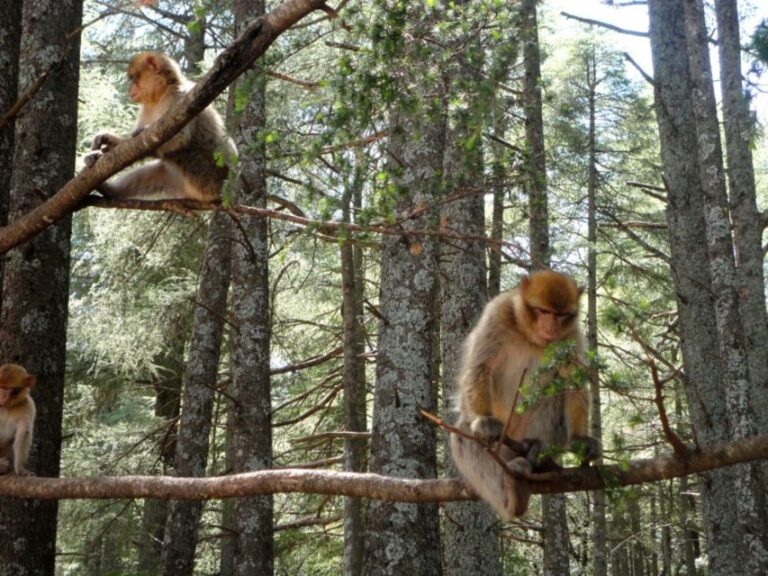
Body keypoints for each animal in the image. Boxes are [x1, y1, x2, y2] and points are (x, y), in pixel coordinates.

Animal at [85, 51, 237, 204]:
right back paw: (110, 191)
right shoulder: (146, 109)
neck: (160, 95)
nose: (129, 89)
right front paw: (106, 140)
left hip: (209, 177)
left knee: (183, 154)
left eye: (134, 78)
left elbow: (179, 138)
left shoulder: (178, 96)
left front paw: (138, 134)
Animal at [450, 268, 600, 516]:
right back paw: (512, 496)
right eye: (543, 311)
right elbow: (481, 367)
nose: (550, 328)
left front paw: (581, 439)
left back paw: (536, 449)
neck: (530, 336)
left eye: (560, 314)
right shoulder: (497, 314)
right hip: (501, 451)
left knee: (552, 396)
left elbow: (572, 382)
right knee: (465, 432)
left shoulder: (571, 335)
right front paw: (484, 420)